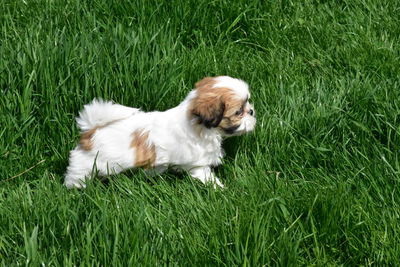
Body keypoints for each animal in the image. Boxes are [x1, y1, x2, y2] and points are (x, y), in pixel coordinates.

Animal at [63, 75, 255, 188]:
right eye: (238, 112)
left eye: (247, 104)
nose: (252, 111)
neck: (198, 125)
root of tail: (91, 131)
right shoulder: (197, 164)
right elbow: (206, 175)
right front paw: (220, 189)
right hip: (89, 163)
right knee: (77, 173)